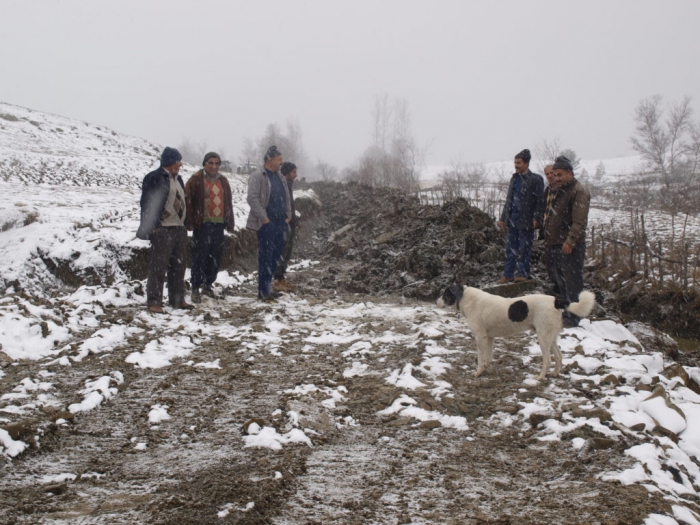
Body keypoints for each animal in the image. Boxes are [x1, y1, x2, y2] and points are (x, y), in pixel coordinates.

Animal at [438, 284, 596, 378]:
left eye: (446, 294)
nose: (436, 301)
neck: (466, 298)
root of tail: (555, 301)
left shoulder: (480, 337)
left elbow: (480, 358)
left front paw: (478, 372)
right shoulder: (489, 337)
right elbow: (488, 357)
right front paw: (484, 369)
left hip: (543, 338)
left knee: (548, 360)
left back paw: (540, 377)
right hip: (551, 337)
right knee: (559, 356)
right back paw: (555, 373)